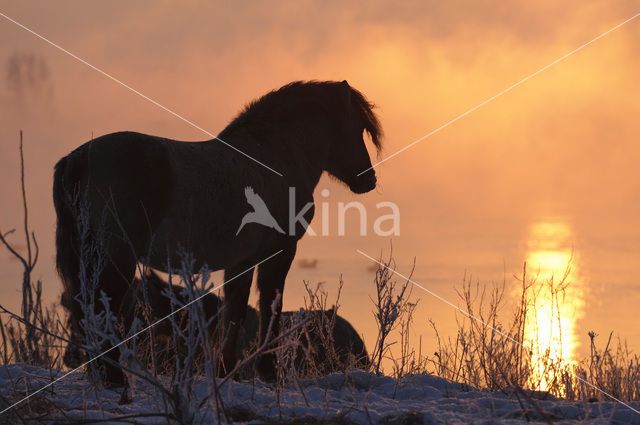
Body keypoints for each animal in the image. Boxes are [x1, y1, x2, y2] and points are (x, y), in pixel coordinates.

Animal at [53, 79, 380, 384]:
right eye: (357, 127)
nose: (370, 179)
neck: (272, 159)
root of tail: (76, 160)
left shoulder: (242, 260)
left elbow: (234, 313)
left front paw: (227, 372)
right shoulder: (279, 252)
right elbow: (269, 307)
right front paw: (268, 373)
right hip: (117, 256)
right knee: (100, 306)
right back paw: (114, 378)